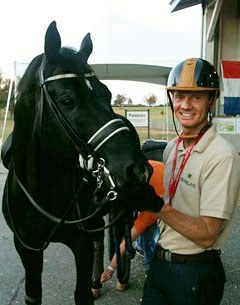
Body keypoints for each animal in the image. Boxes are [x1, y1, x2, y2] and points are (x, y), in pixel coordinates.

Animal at [1, 22, 161, 304]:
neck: (43, 188)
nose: (138, 169)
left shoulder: (80, 245)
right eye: (67, 100)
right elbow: (33, 294)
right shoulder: (27, 248)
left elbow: (82, 292)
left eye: (107, 93)